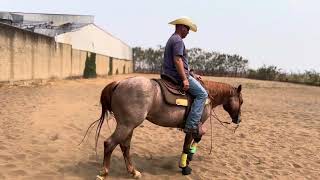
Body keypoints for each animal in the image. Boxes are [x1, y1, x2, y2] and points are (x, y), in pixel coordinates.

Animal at [85, 75, 242, 179]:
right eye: (241, 101)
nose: (239, 119)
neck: (207, 96)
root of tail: (119, 83)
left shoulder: (193, 127)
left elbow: (193, 141)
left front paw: (188, 159)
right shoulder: (194, 125)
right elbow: (190, 143)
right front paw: (185, 166)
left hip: (128, 126)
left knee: (124, 146)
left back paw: (133, 172)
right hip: (127, 125)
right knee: (110, 143)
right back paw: (103, 173)